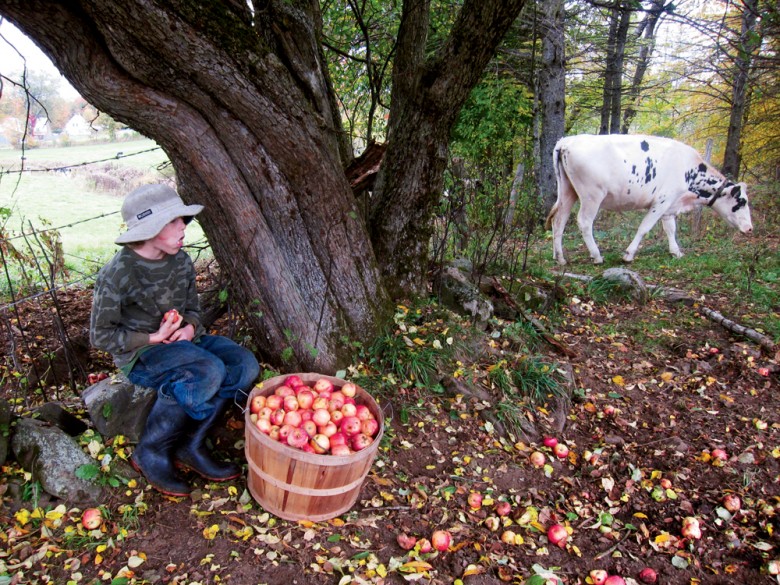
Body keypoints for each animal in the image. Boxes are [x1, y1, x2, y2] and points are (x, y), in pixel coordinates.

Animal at [544, 133, 752, 264]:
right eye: (741, 202)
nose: (750, 228)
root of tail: (567, 141)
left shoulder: (670, 206)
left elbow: (670, 229)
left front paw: (676, 252)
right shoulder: (662, 202)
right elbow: (644, 228)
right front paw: (628, 255)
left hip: (567, 191)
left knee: (559, 220)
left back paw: (559, 257)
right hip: (592, 196)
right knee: (584, 222)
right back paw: (596, 256)